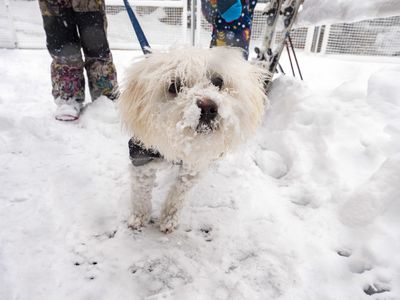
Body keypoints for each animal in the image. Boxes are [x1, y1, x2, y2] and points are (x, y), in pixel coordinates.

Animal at [119, 47, 268, 233]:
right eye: (174, 86)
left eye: (218, 81)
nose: (208, 107)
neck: (182, 144)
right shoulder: (142, 159)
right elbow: (141, 193)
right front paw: (139, 217)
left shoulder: (192, 168)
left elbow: (178, 195)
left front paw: (169, 219)